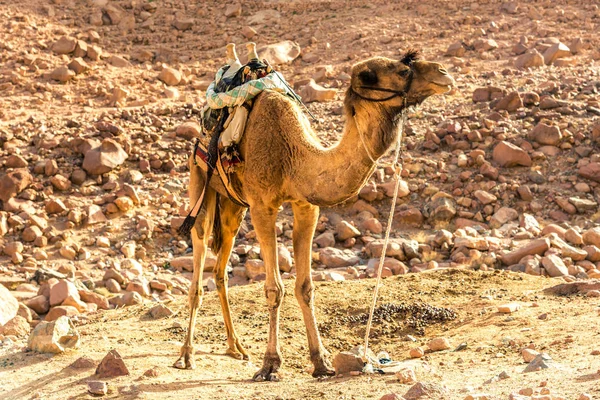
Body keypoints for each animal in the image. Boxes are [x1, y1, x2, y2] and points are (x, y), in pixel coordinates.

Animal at [175, 50, 454, 382]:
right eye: (401, 71)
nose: (443, 73)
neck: (295, 156)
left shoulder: (306, 206)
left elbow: (305, 287)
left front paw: (321, 362)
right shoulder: (262, 207)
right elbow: (274, 289)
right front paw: (270, 364)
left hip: (233, 205)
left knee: (220, 270)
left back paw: (236, 347)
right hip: (200, 179)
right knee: (199, 253)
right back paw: (187, 355)